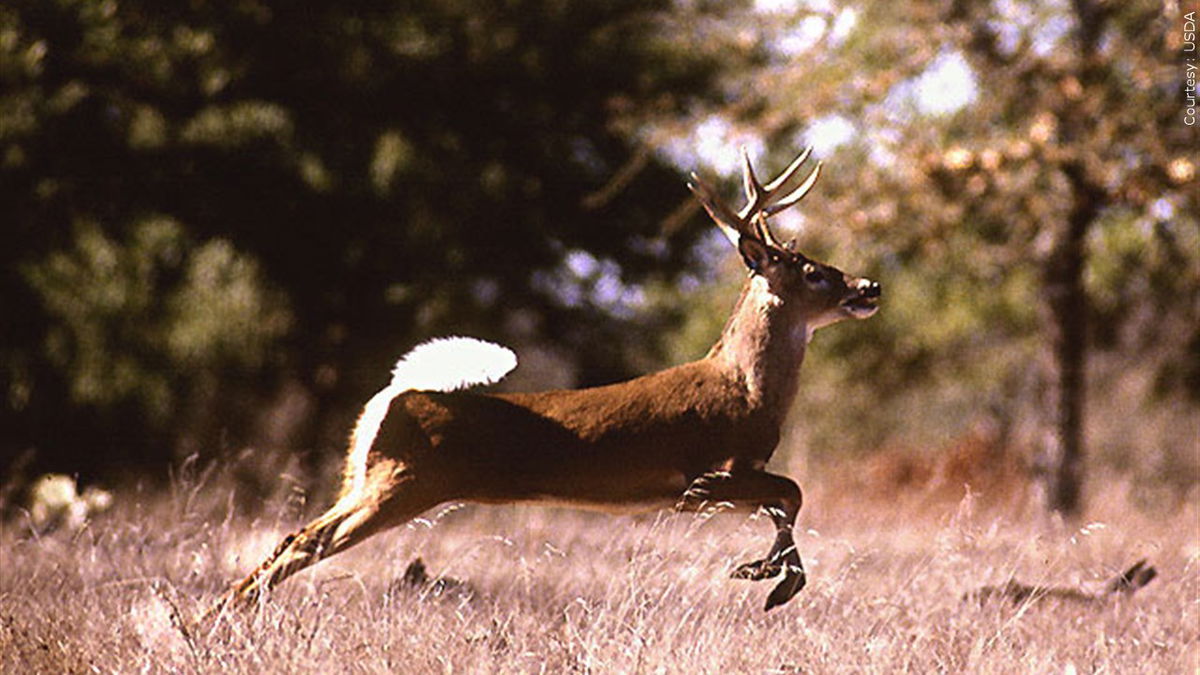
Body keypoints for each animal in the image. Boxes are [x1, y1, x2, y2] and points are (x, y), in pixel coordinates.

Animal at [208, 147, 883, 614]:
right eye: (812, 271)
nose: (869, 286)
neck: (747, 389)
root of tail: (395, 397)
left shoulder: (721, 481)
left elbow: (784, 501)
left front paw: (763, 573)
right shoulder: (705, 476)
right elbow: (793, 492)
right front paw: (773, 582)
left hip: (365, 480)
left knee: (291, 536)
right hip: (400, 484)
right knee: (303, 542)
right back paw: (217, 619)